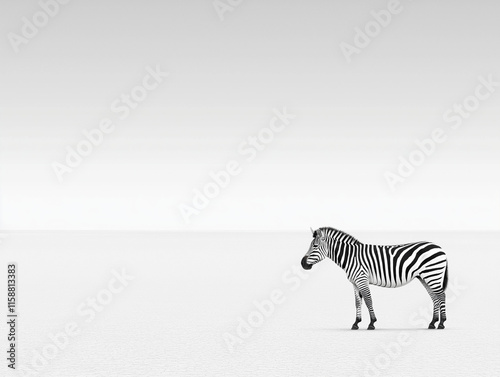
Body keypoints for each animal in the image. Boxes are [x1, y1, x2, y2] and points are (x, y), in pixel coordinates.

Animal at [300, 226, 450, 328]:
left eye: (315, 246)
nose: (302, 264)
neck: (351, 257)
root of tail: (440, 248)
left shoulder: (362, 279)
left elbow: (368, 300)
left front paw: (372, 323)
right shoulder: (354, 282)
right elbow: (357, 302)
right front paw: (356, 323)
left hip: (433, 274)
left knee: (441, 295)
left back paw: (441, 323)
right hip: (425, 277)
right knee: (434, 297)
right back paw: (432, 323)